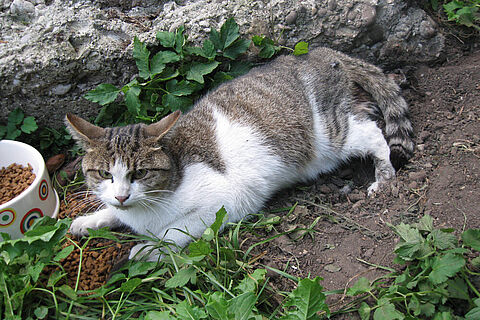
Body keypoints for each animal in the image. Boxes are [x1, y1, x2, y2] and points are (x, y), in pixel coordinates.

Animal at [65, 47, 414, 260]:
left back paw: (383, 177)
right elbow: (111, 211)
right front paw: (91, 219)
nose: (122, 195)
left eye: (140, 173)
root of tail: (318, 51)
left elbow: (174, 231)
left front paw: (148, 249)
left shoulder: (225, 203)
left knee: (374, 134)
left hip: (331, 137)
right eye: (104, 174)